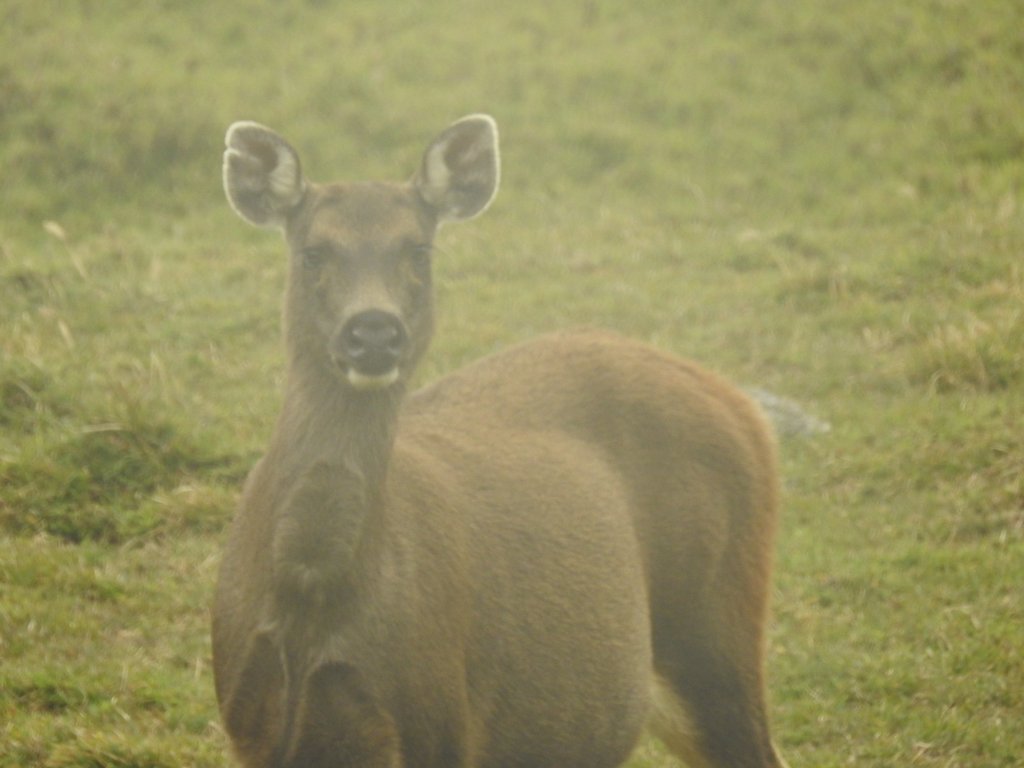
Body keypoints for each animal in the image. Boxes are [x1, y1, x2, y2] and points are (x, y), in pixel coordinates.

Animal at [214, 114, 790, 768]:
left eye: (419, 250)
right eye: (313, 252)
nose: (374, 331)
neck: (308, 599)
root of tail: (742, 405)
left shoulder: (443, 716)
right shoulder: (249, 722)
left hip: (718, 620)